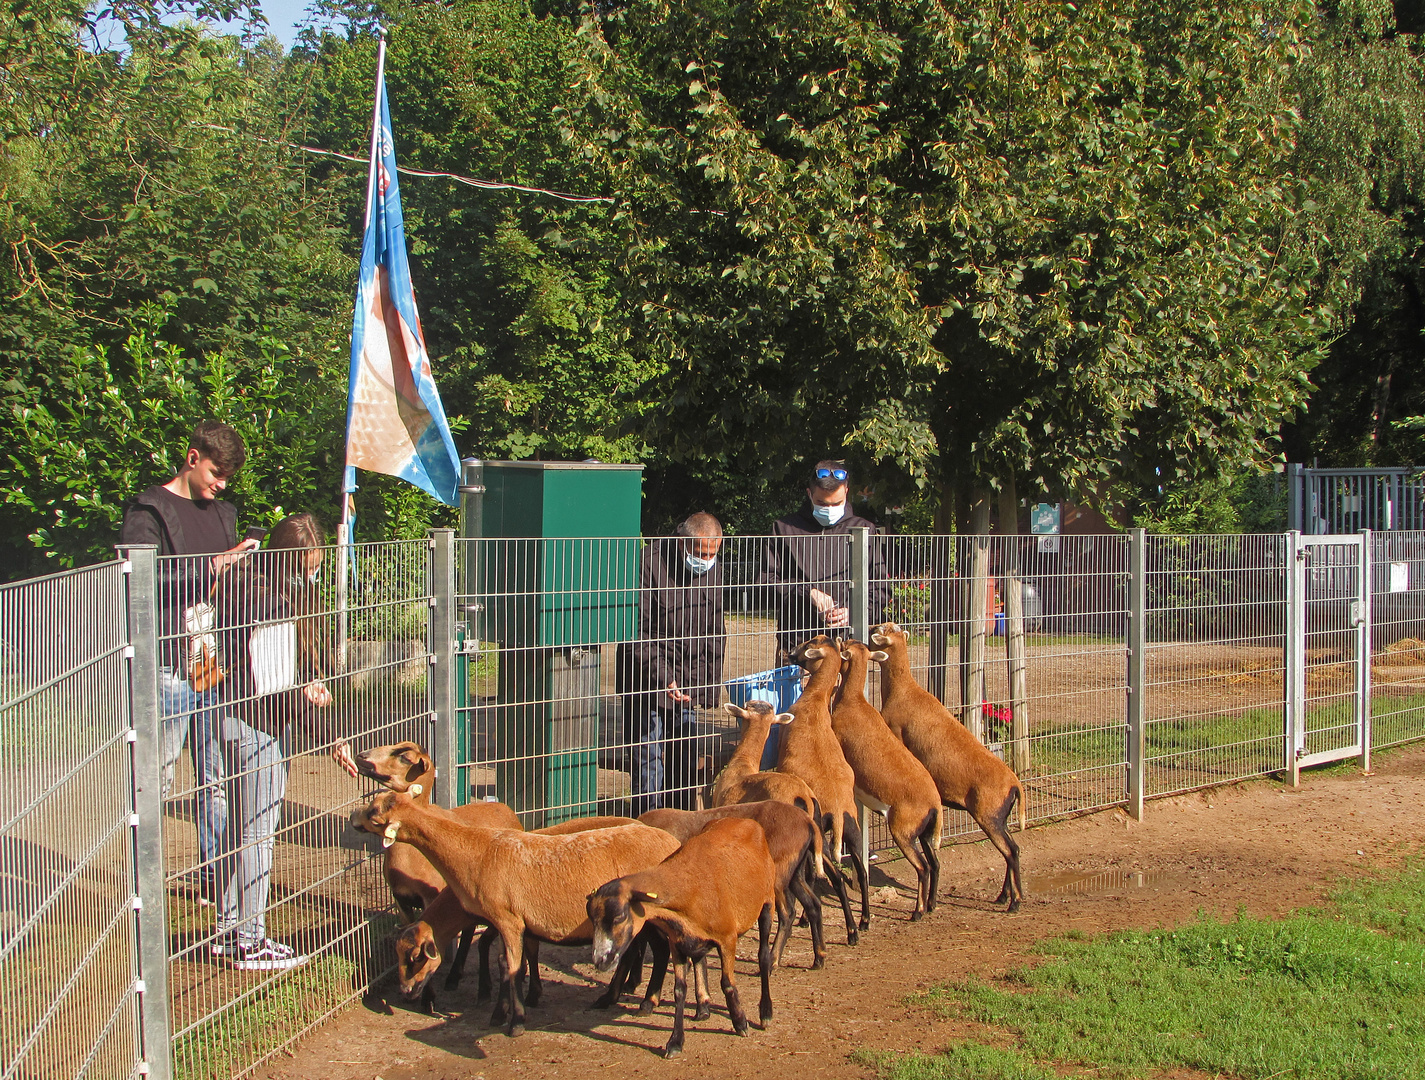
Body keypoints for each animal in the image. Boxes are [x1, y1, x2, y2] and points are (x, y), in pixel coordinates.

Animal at [866, 626, 1026, 911]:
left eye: (883, 630)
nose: (869, 633)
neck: (903, 691)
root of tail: (1015, 785)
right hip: (1000, 818)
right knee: (1012, 850)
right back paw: (1002, 896)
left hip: (989, 816)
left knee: (1012, 851)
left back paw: (1013, 902)